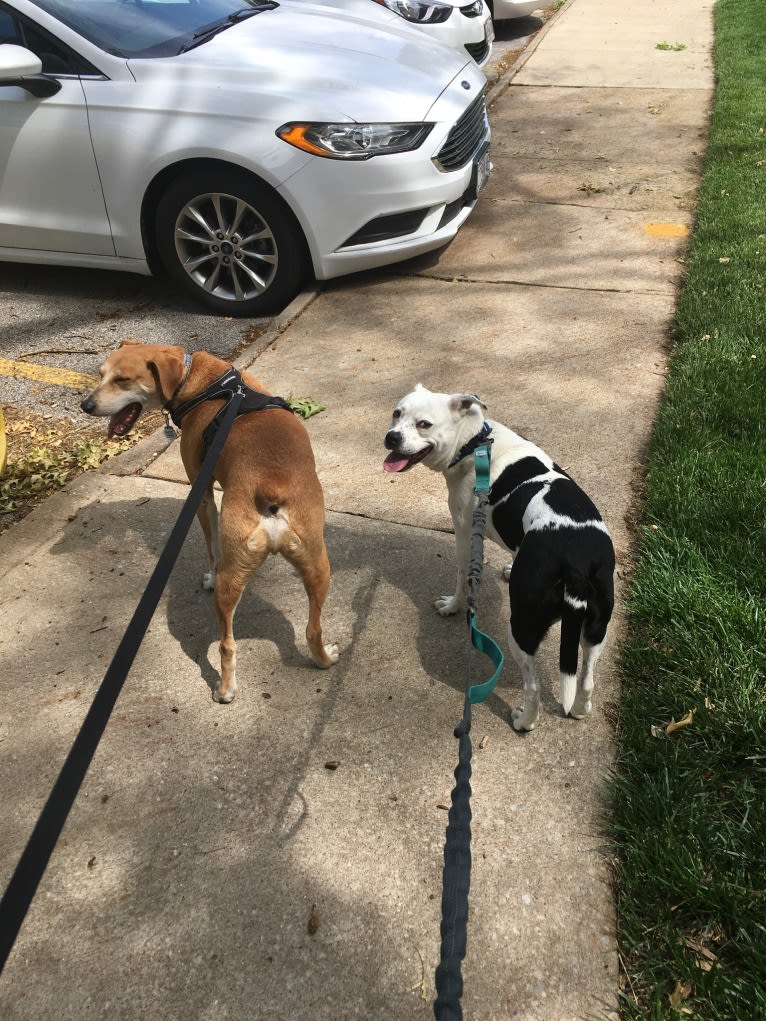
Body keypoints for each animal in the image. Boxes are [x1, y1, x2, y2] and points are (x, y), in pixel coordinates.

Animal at [80, 341, 339, 702]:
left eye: (122, 380)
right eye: (101, 374)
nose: (85, 405)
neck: (200, 380)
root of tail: (272, 488)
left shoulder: (201, 493)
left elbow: (212, 545)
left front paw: (208, 576)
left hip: (233, 579)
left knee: (227, 644)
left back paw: (225, 689)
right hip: (318, 565)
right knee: (313, 629)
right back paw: (324, 659)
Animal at [384, 383, 616, 735]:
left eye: (424, 424)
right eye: (397, 413)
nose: (392, 437)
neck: (473, 442)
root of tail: (575, 565)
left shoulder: (464, 531)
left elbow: (462, 577)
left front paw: (453, 606)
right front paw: (508, 567)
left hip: (521, 629)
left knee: (533, 686)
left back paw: (524, 721)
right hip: (596, 628)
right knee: (587, 679)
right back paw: (578, 711)